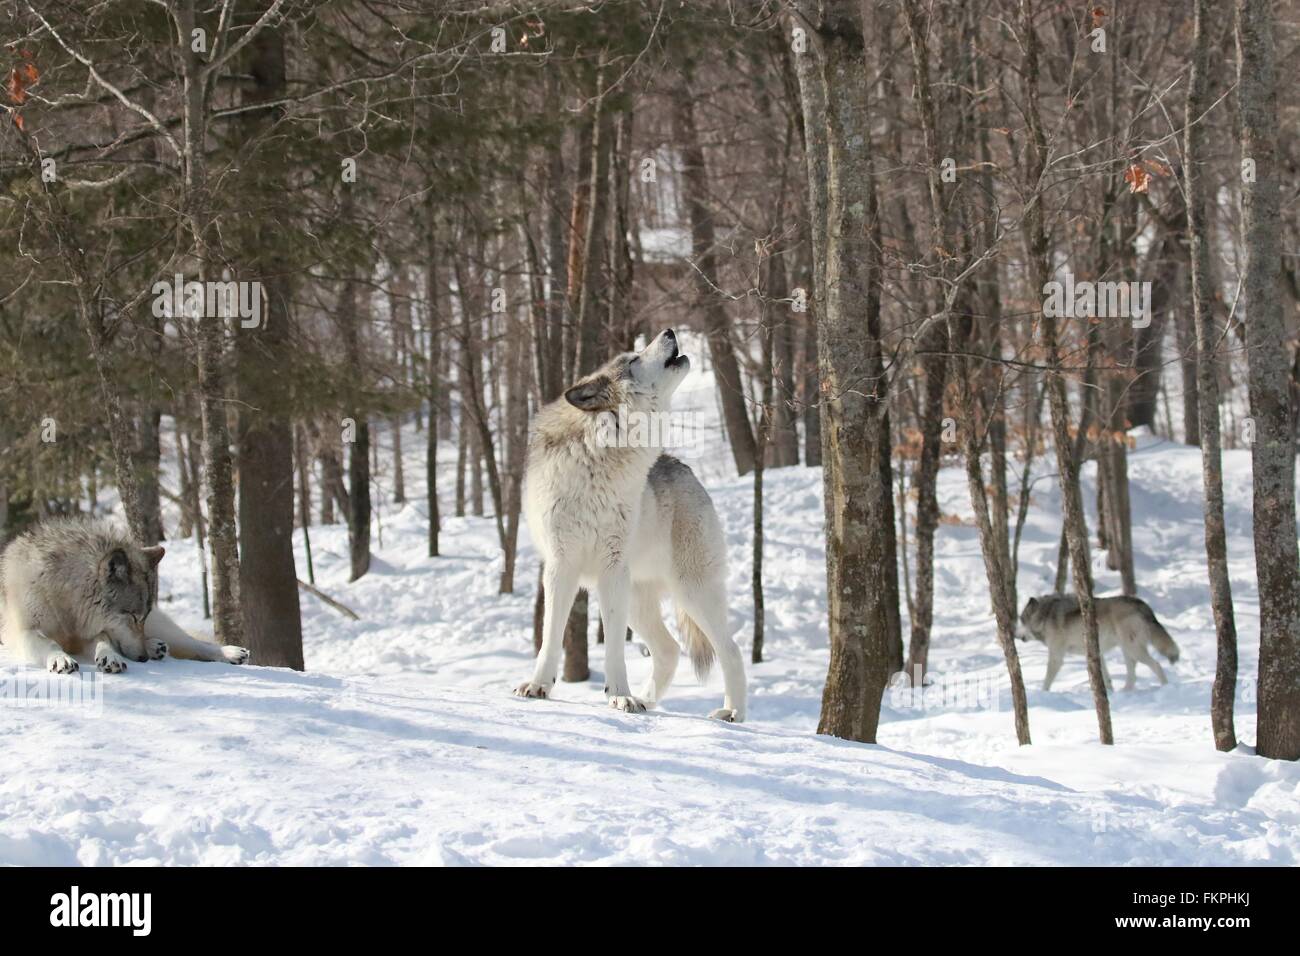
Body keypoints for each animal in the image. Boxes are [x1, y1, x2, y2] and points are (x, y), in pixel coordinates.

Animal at [0, 515, 250, 671]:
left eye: (142, 617)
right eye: (132, 616)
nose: (143, 658)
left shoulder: (95, 630)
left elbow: (104, 641)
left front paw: (109, 657)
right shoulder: (27, 631)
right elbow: (51, 644)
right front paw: (62, 659)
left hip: (163, 626)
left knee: (193, 642)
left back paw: (230, 653)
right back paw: (155, 647)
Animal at [514, 332, 748, 723]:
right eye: (634, 360)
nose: (669, 332)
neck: (601, 458)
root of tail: (686, 469)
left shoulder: (612, 571)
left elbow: (612, 649)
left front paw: (620, 696)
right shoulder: (560, 567)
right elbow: (550, 637)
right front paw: (538, 686)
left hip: (690, 592)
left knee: (731, 650)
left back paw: (732, 713)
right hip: (640, 601)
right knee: (669, 650)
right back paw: (649, 700)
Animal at [1019, 595, 1185, 691]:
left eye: (1022, 622)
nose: (1018, 637)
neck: (1045, 616)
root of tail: (1141, 604)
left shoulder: (1056, 657)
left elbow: (1046, 681)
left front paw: (1043, 693)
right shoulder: (1096, 653)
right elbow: (1106, 678)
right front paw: (1109, 693)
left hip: (1133, 650)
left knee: (1156, 665)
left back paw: (1165, 687)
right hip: (1128, 651)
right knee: (1132, 674)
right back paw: (1126, 691)